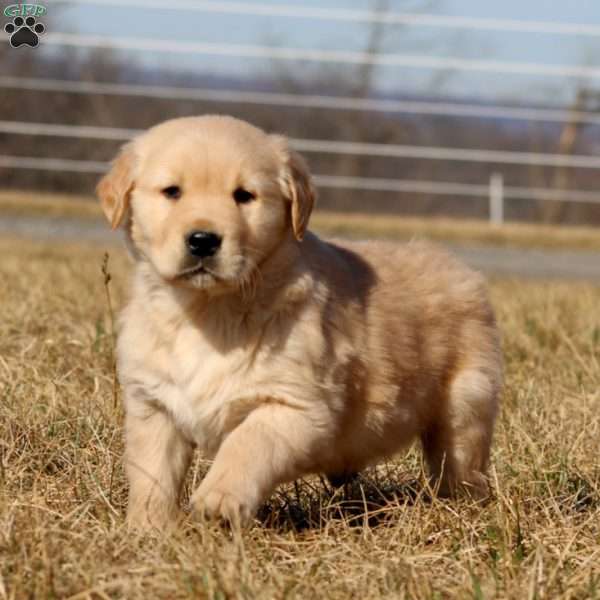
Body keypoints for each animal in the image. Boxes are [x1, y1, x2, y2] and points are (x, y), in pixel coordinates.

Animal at [97, 115, 502, 528]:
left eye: (244, 196)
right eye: (172, 192)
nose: (203, 240)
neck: (209, 311)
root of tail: (460, 266)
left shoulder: (297, 406)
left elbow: (247, 443)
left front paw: (218, 500)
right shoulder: (154, 404)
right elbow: (152, 474)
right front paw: (148, 529)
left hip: (465, 403)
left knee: (461, 463)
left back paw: (462, 507)